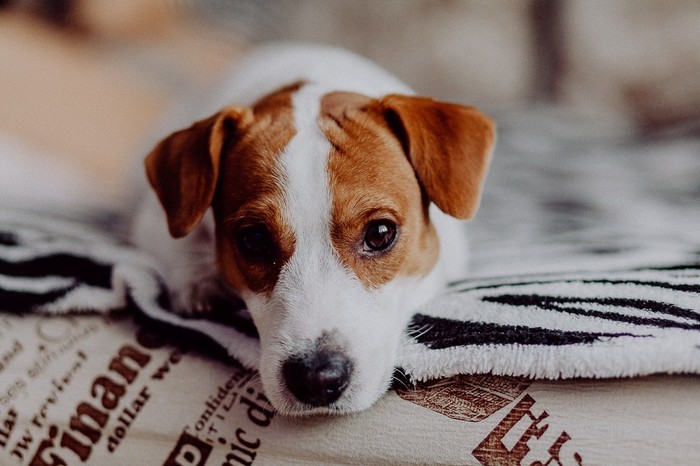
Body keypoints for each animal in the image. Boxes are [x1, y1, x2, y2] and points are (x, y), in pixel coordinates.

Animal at [131, 44, 492, 416]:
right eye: (254, 239)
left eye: (379, 233)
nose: (317, 378)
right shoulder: (151, 217)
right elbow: (175, 244)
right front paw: (198, 281)